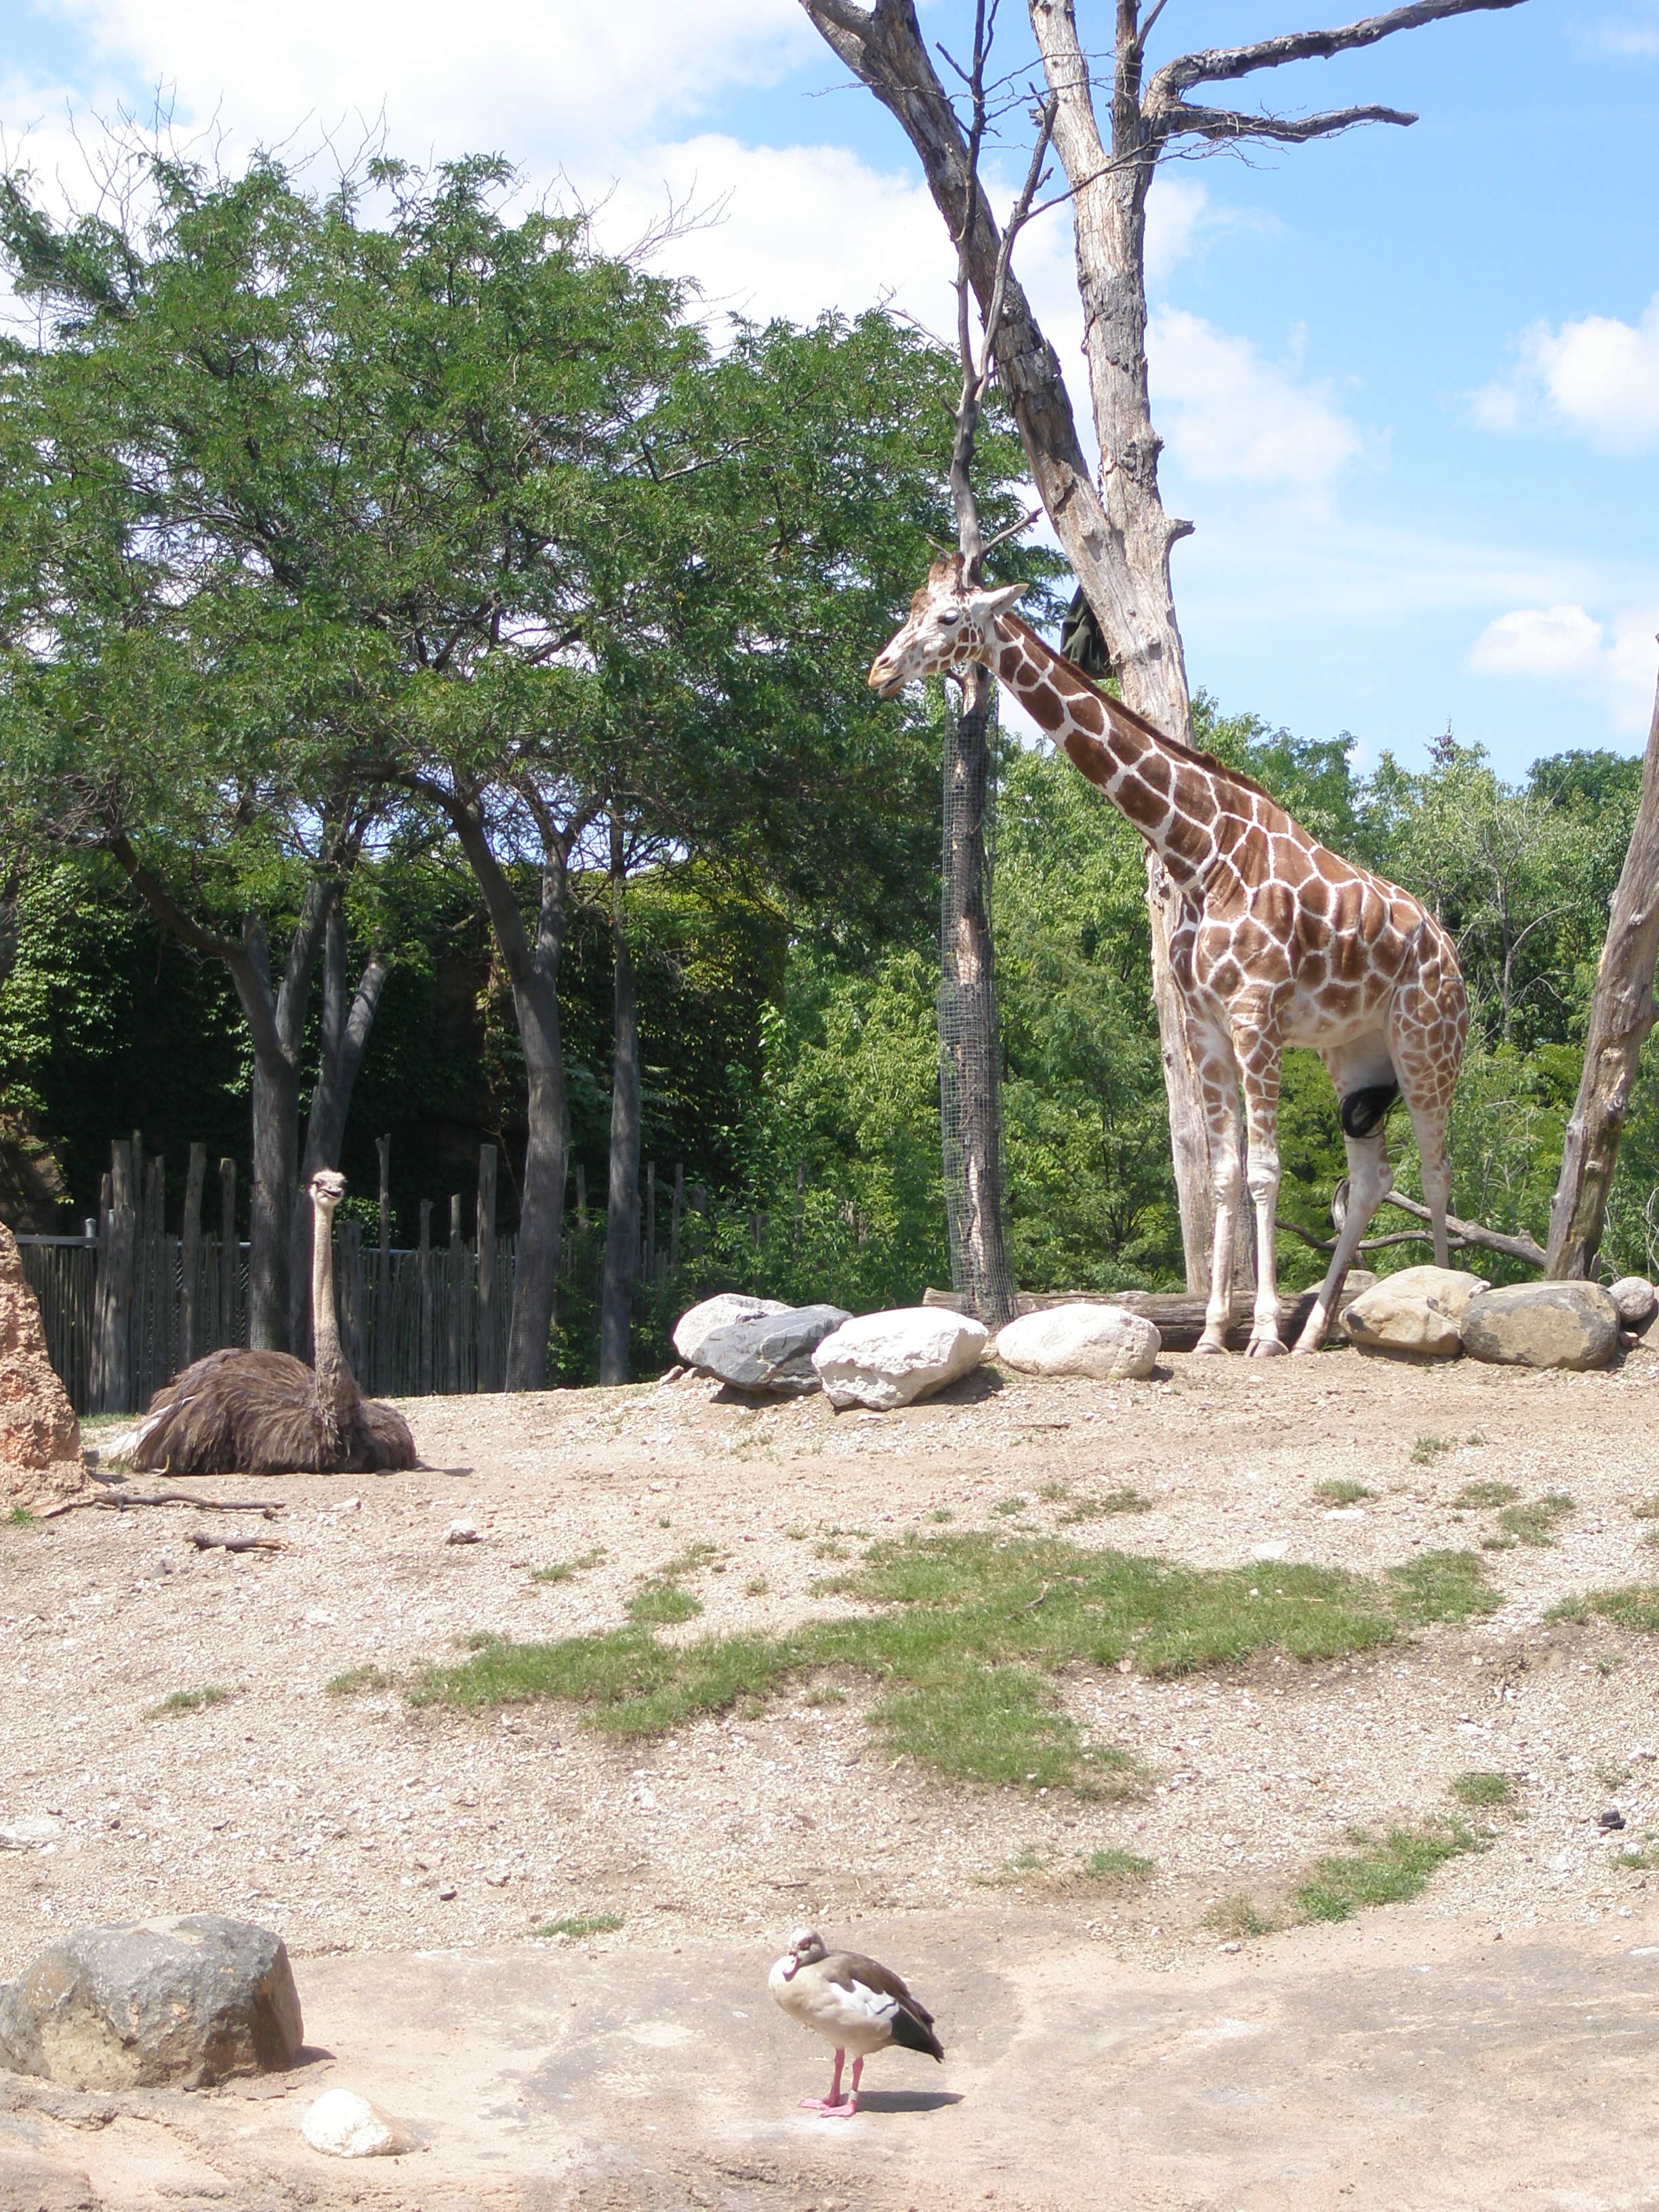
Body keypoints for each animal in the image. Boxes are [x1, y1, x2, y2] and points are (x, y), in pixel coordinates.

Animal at [872, 557, 1469, 1345]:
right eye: (912, 608)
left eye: (947, 618)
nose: (879, 670)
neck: (1198, 852)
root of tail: (1449, 950)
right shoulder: (1204, 1026)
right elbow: (1221, 1173)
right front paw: (1217, 1331)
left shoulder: (1255, 1017)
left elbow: (1264, 1170)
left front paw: (1263, 1333)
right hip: (1354, 1055)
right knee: (1375, 1179)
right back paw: (1319, 1330)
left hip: (1427, 1044)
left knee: (1436, 1169)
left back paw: (1438, 1298)